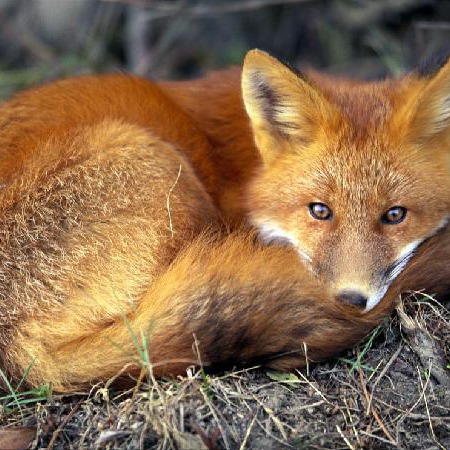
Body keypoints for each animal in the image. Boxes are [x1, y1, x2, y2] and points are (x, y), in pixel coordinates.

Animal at [0, 51, 450, 392]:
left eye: (395, 215)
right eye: (320, 210)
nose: (351, 300)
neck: (251, 163)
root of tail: (18, 354)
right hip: (161, 166)